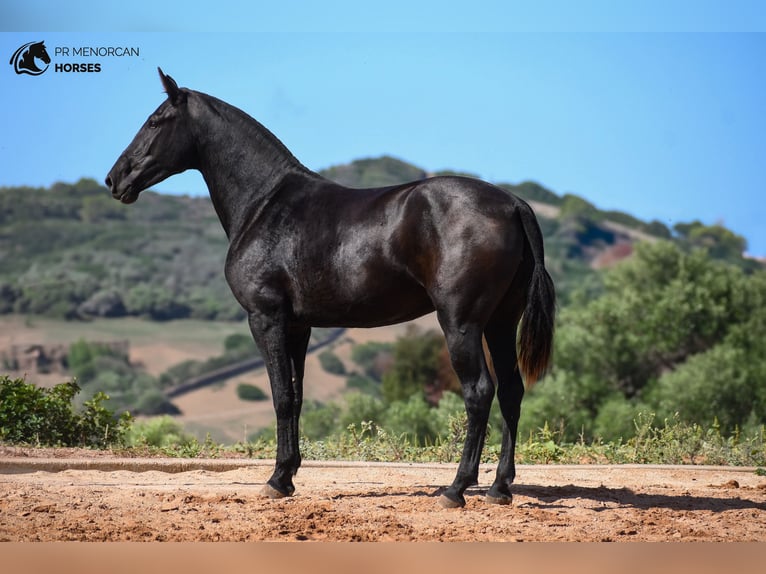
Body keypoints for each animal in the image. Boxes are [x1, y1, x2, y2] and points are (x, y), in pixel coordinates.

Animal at [105, 70, 556, 510]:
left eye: (155, 121)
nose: (114, 178)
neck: (265, 205)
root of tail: (513, 205)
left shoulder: (266, 318)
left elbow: (280, 397)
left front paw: (275, 481)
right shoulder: (298, 327)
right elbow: (296, 395)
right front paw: (287, 477)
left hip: (461, 324)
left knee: (479, 392)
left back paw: (456, 489)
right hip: (500, 323)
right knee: (512, 391)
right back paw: (500, 488)